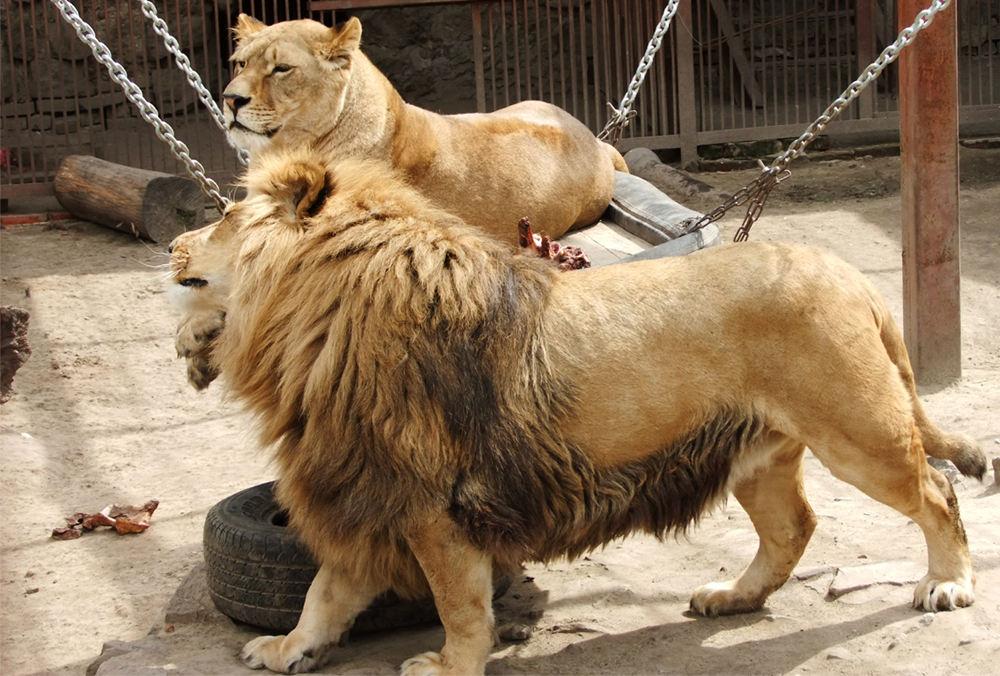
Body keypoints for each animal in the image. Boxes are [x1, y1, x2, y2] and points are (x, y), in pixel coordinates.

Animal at [168, 153, 988, 676]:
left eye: (223, 216)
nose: (172, 245)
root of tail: (851, 275)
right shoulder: (368, 486)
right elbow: (324, 592)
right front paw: (289, 648)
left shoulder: (432, 503)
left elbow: (458, 604)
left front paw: (448, 666)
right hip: (757, 454)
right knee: (794, 528)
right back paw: (732, 596)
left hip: (858, 432)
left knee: (936, 490)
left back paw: (948, 585)